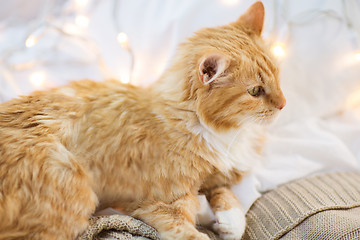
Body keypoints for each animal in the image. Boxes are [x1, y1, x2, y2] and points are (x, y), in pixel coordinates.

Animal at [0, 2, 286, 240]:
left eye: (277, 77)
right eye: (255, 91)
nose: (283, 105)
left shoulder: (213, 176)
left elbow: (227, 197)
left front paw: (229, 222)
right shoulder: (158, 201)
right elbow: (189, 230)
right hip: (73, 197)